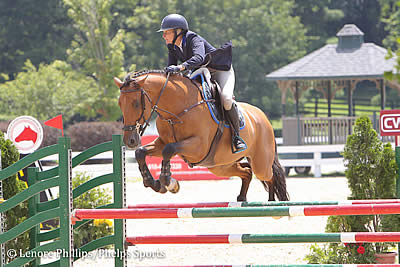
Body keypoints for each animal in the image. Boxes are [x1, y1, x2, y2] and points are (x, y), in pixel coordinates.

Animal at [114, 70, 290, 202]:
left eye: (136, 103)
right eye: (120, 104)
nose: (130, 141)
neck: (178, 109)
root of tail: (264, 118)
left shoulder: (198, 146)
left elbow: (169, 150)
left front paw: (169, 182)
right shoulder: (162, 142)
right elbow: (141, 152)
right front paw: (153, 182)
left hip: (260, 164)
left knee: (270, 176)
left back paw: (272, 204)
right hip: (220, 166)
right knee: (247, 171)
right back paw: (242, 198)